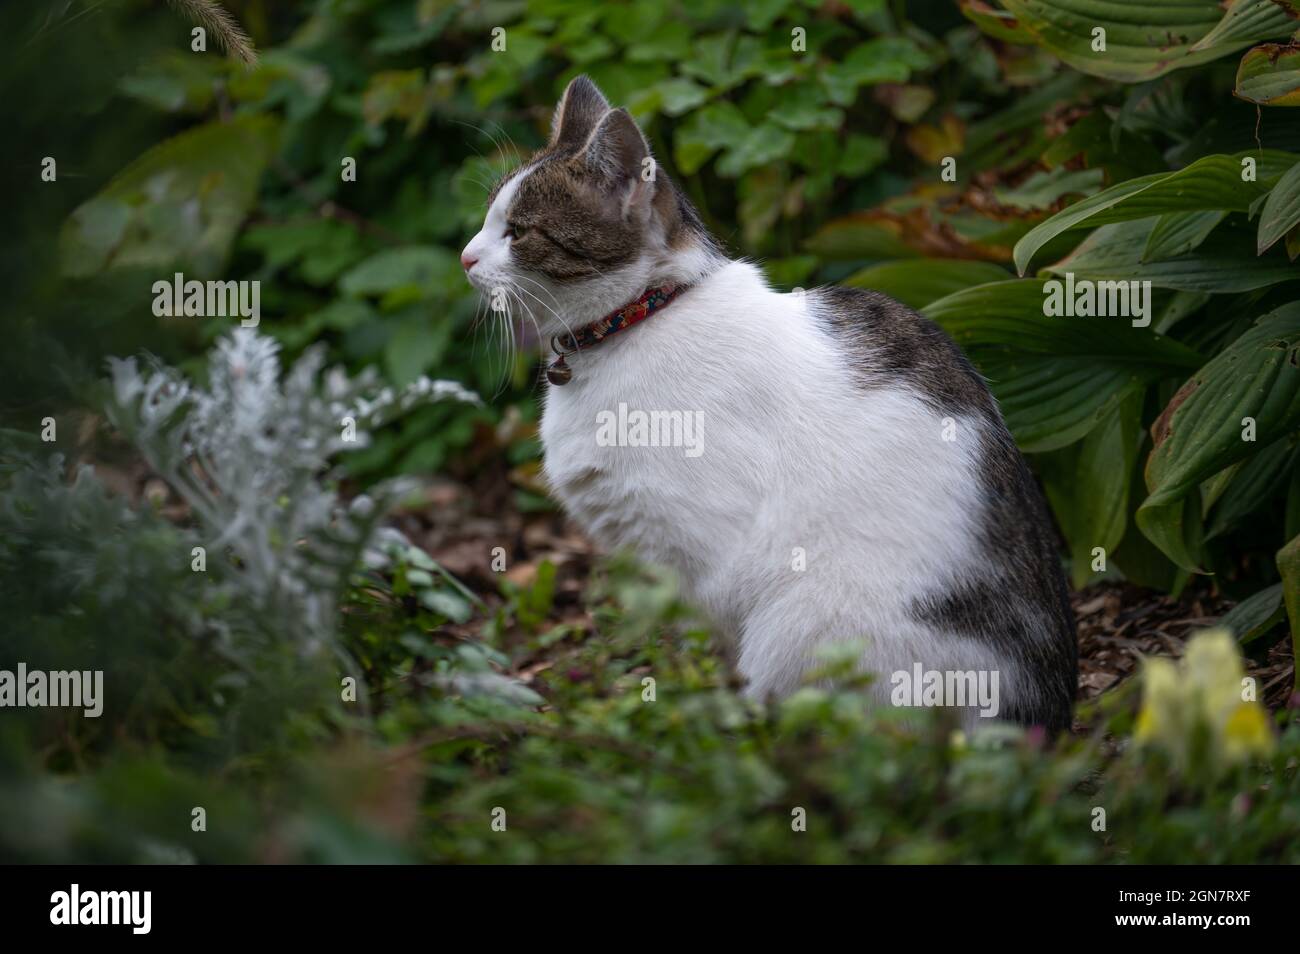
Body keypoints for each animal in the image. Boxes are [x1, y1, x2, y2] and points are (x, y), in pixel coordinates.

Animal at [462, 76, 1081, 733]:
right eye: (488, 218)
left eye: (518, 231)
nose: (466, 257)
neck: (641, 318)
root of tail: (1039, 715)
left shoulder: (708, 554)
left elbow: (715, 647)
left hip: (811, 618)